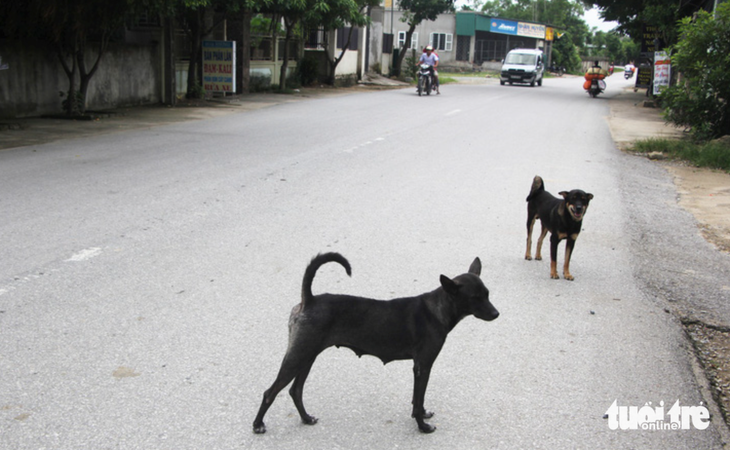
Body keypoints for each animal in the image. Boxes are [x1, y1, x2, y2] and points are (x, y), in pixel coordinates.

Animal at [253, 251, 498, 434]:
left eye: (487, 293)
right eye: (475, 298)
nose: (496, 314)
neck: (438, 308)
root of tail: (309, 300)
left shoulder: (419, 367)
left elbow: (417, 399)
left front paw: (422, 415)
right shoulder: (423, 366)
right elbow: (418, 399)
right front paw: (422, 426)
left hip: (307, 357)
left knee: (296, 390)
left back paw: (305, 418)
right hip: (298, 357)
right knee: (270, 392)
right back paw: (258, 425)